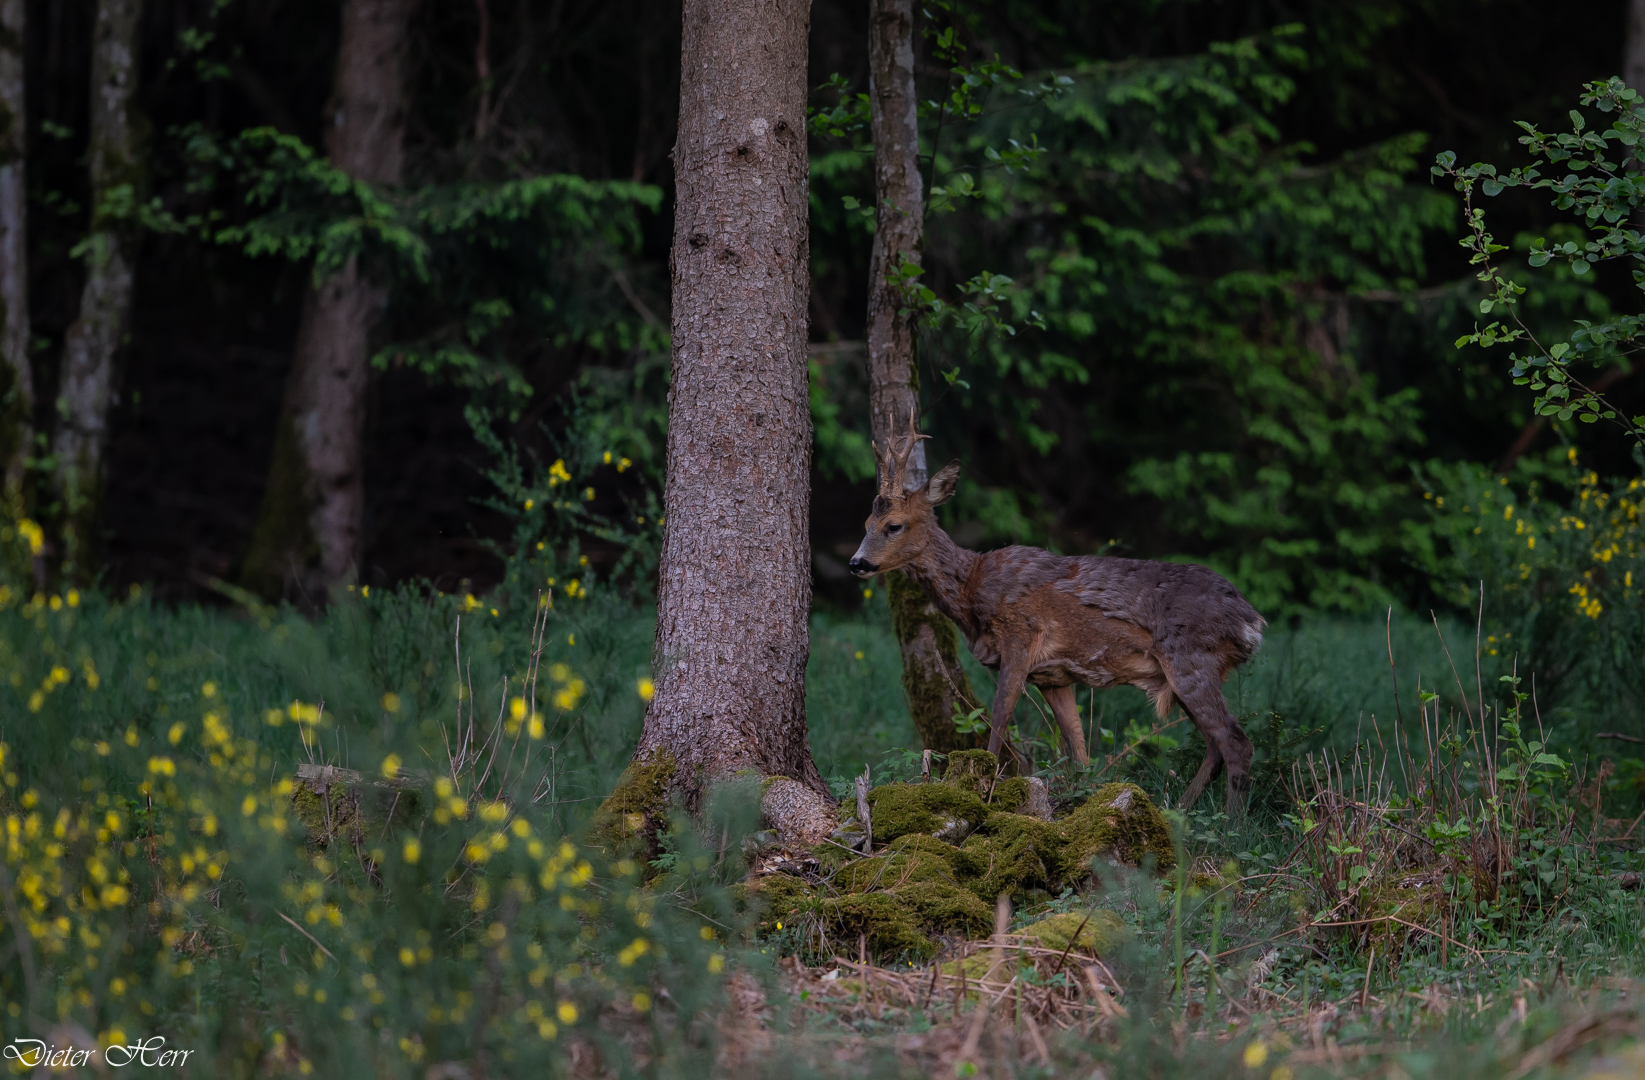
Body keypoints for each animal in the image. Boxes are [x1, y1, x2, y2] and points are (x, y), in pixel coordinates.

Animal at [855, 417, 1263, 812]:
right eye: (865, 525)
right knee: (1215, 745)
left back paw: (1231, 824)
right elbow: (1079, 752)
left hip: (1190, 661)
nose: (856, 562)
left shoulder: (1020, 638)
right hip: (1186, 674)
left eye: (894, 525)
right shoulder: (1052, 676)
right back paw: (1179, 813)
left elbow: (999, 723)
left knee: (1236, 742)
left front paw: (982, 794)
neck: (973, 594)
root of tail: (1250, 619)